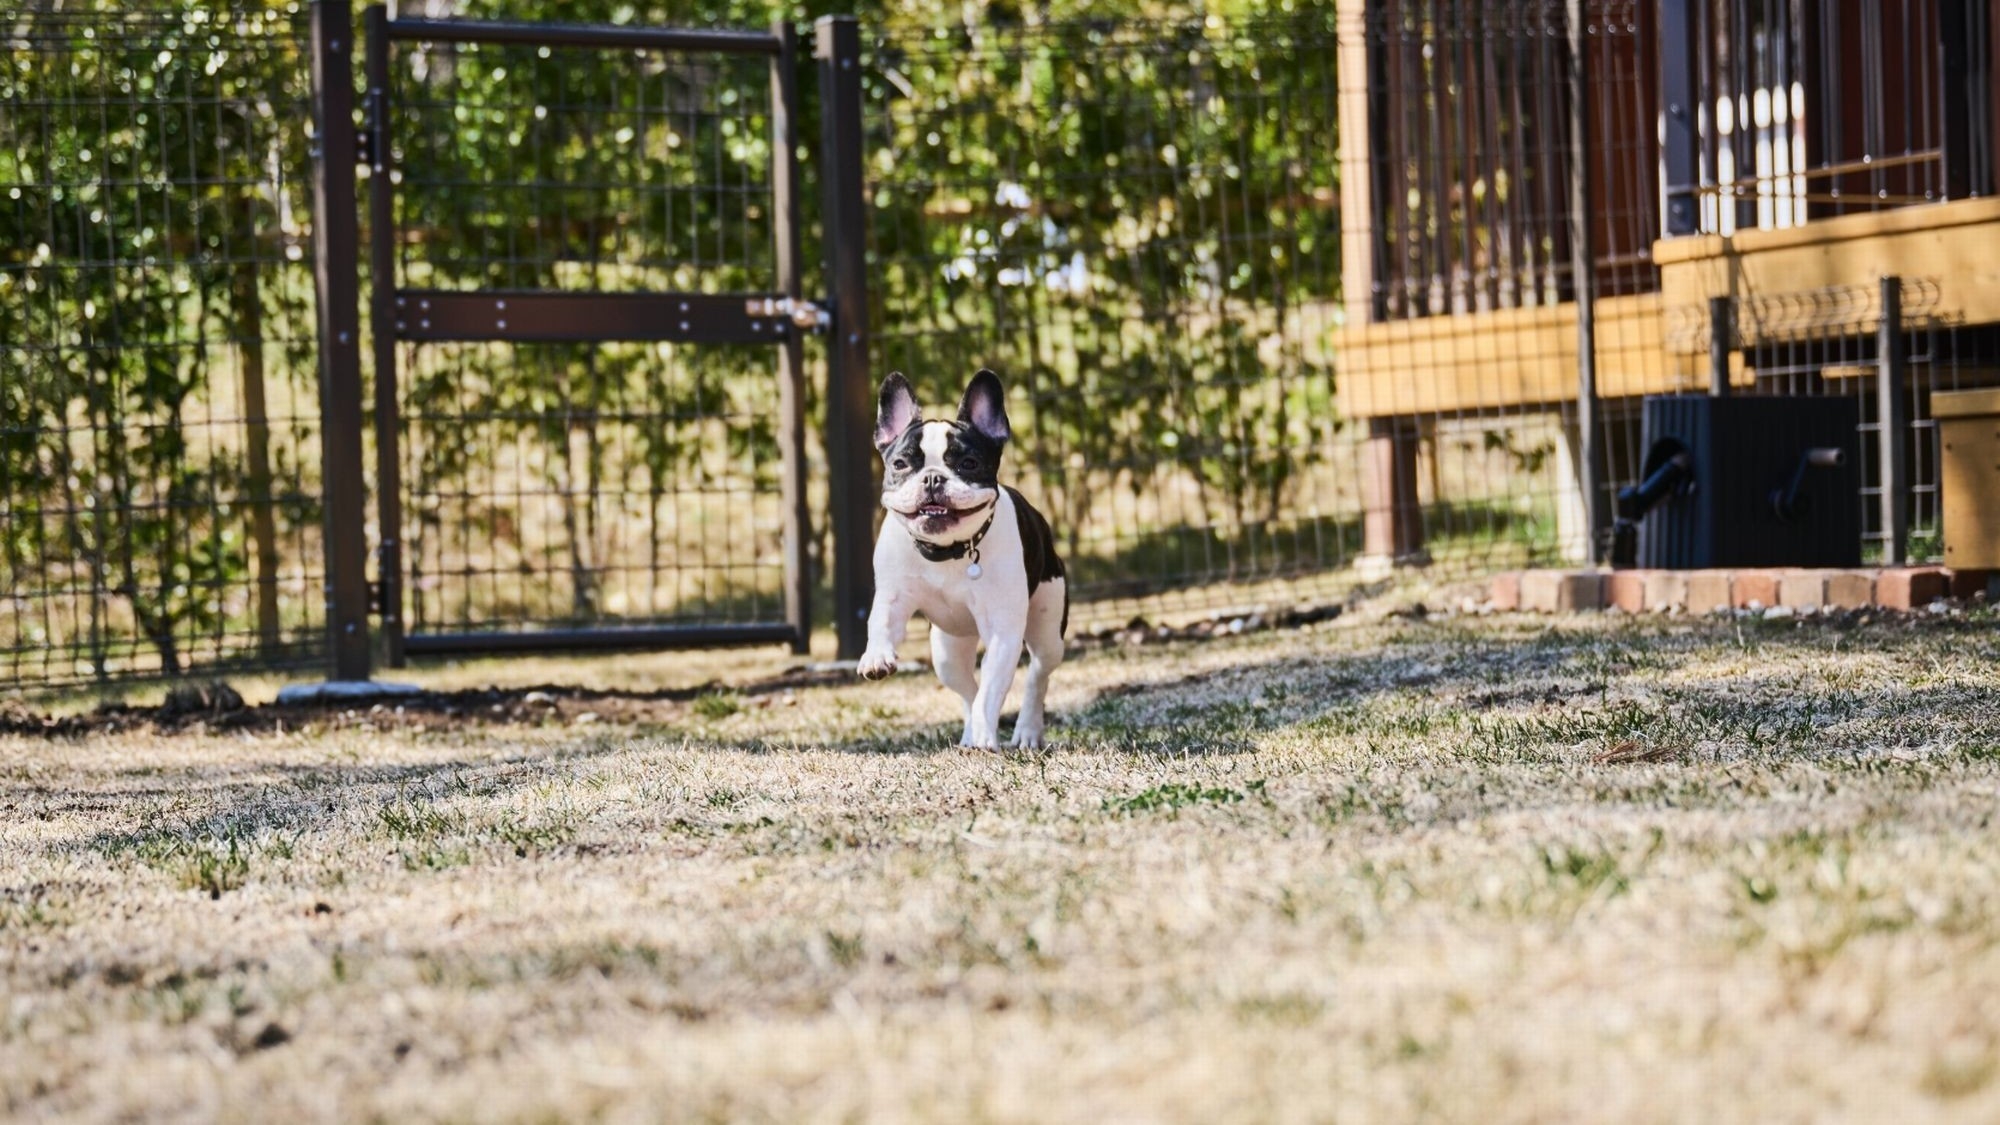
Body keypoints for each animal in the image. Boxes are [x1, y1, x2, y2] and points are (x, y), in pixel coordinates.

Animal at [864, 372, 1080, 748]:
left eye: (969, 463)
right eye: (900, 464)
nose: (933, 477)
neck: (947, 550)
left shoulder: (1003, 631)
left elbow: (992, 689)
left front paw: (984, 733)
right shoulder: (893, 596)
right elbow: (879, 622)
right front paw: (876, 656)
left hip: (1048, 628)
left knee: (1038, 673)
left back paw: (1026, 730)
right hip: (946, 650)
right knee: (966, 688)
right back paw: (969, 733)